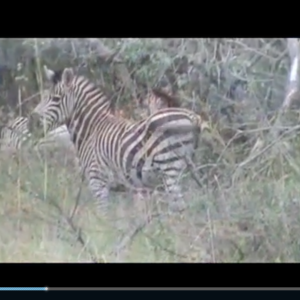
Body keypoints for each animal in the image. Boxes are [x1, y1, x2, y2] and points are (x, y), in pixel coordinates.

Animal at [27, 65, 211, 216]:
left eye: (55, 99)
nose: (32, 122)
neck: (91, 130)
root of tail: (193, 117)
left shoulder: (98, 181)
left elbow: (104, 218)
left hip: (170, 168)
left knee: (180, 207)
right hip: (189, 168)